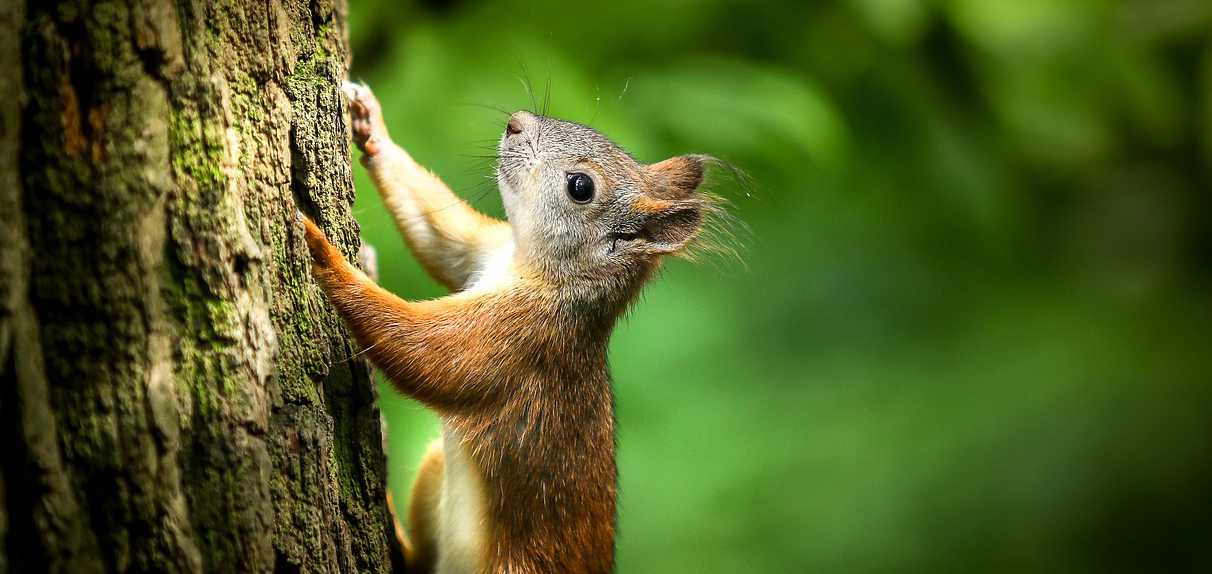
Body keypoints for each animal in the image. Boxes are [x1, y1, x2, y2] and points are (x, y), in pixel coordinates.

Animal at [299, 81, 722, 574]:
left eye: (581, 186)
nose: (516, 122)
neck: (539, 270)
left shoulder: (521, 335)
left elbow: (425, 352)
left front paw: (322, 254)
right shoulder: (486, 250)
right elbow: (443, 237)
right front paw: (371, 126)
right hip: (434, 468)